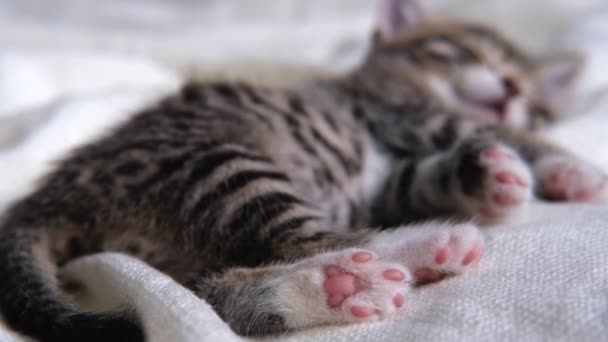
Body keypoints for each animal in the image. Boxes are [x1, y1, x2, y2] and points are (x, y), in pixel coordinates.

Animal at [0, 0, 604, 342]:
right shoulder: (407, 110)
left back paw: (335, 286)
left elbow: (418, 177)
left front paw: (493, 176)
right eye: (460, 51)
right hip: (219, 165)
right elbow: (492, 130)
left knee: (203, 294)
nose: (510, 89)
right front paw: (575, 169)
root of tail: (51, 194)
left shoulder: (381, 180)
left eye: (530, 92)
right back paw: (393, 259)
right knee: (307, 239)